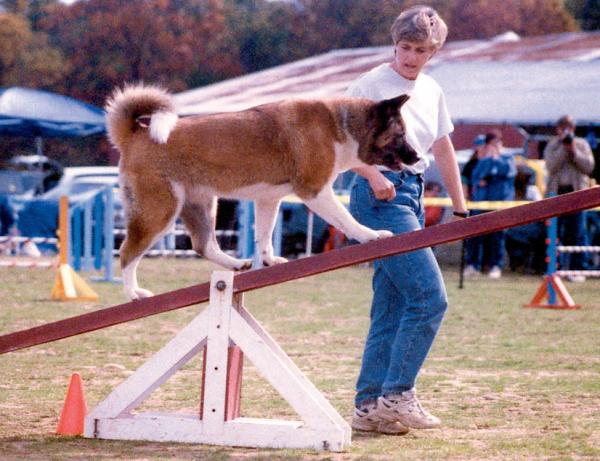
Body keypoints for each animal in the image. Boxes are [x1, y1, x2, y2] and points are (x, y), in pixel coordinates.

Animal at [105, 84, 418, 298]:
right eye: (400, 134)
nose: (416, 157)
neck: (339, 125)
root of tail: (135, 134)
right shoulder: (315, 192)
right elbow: (347, 220)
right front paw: (371, 235)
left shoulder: (269, 200)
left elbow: (264, 236)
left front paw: (268, 260)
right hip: (159, 212)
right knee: (127, 252)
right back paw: (134, 294)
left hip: (202, 205)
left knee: (203, 244)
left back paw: (236, 265)